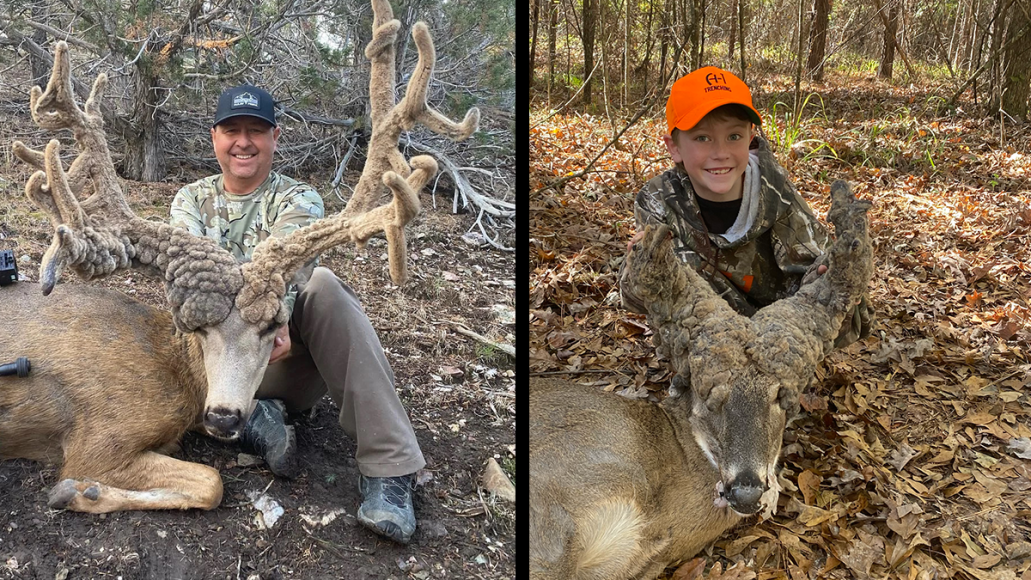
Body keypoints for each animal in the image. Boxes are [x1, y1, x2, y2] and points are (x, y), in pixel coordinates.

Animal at [0, 0, 478, 535]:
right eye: (200, 328)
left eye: (271, 327)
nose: (225, 417)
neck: (177, 370)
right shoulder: (97, 438)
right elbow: (212, 482)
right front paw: (76, 491)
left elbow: (208, 483)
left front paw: (80, 492)